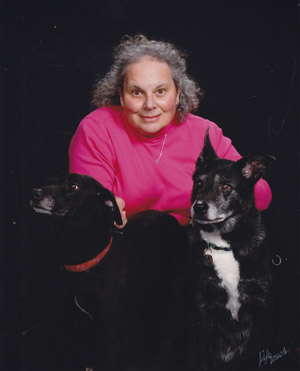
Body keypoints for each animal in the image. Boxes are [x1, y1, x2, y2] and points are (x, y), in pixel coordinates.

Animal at [31, 174, 189, 371]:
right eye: (52, 181)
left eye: (73, 186)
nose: (35, 193)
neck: (83, 263)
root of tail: (168, 216)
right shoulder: (73, 330)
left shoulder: (111, 338)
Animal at [189, 132, 274, 370]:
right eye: (198, 183)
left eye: (226, 187)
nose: (199, 207)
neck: (224, 244)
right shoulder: (202, 311)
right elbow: (201, 357)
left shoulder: (263, 305)